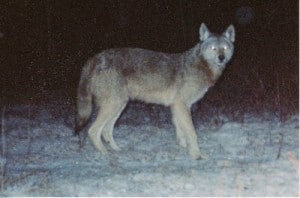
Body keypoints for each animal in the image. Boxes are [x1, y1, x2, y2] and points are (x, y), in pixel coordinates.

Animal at [74, 23, 234, 159]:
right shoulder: (182, 105)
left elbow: (181, 131)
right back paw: (105, 153)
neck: (202, 66)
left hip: (119, 105)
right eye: (213, 48)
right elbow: (192, 133)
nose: (221, 58)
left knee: (106, 131)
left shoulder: (177, 106)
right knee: (93, 130)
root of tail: (93, 59)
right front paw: (197, 155)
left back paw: (117, 149)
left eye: (225, 48)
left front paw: (183, 148)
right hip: (114, 105)